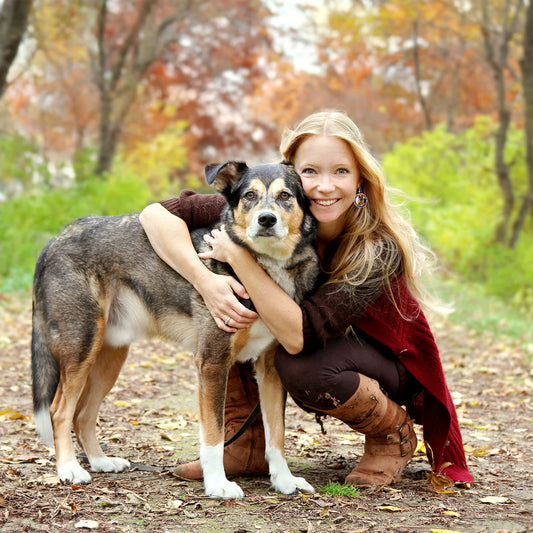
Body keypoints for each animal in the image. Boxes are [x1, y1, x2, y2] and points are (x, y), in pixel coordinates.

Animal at [31, 160, 318, 496]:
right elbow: (213, 436)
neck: (262, 270)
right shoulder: (212, 362)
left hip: (108, 357)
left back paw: (101, 461)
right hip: (82, 346)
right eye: (250, 195)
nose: (267, 220)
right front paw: (217, 485)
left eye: (285, 195)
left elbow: (277, 434)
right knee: (60, 411)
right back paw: (69, 469)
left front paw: (284, 480)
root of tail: (56, 239)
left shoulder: (270, 369)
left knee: (83, 414)